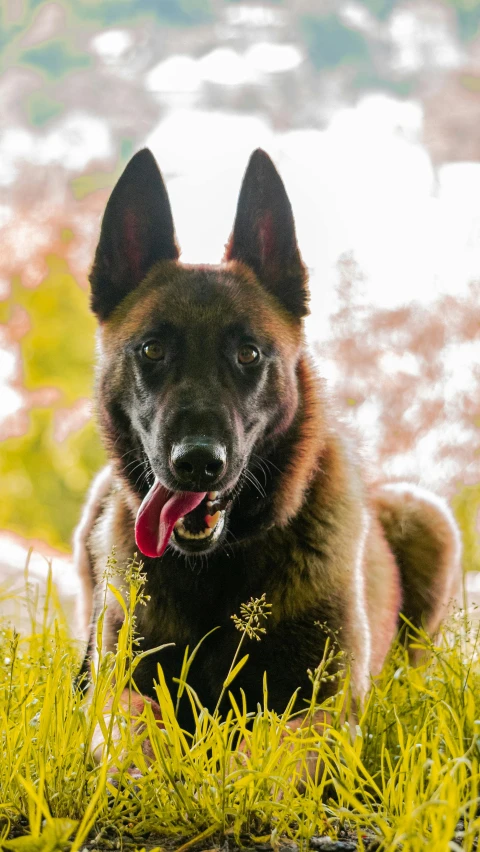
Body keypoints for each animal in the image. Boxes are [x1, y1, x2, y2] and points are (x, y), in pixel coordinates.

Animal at [76, 146, 462, 760]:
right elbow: (139, 744)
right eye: (152, 349)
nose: (197, 463)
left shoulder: (319, 711)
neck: (218, 571)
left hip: (428, 519)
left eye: (249, 353)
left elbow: (267, 761)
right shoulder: (125, 695)